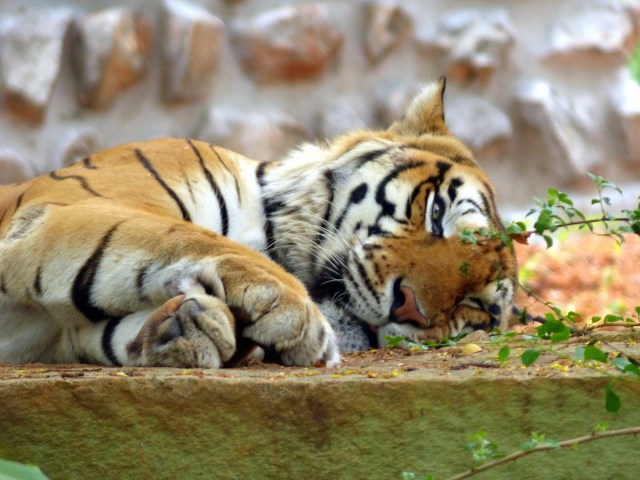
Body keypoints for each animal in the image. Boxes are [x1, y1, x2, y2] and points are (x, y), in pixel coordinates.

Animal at [0, 78, 516, 368]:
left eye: (474, 307)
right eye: (436, 214)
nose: (409, 309)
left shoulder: (58, 335)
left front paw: (182, 329)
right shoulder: (65, 206)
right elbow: (183, 236)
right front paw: (296, 316)